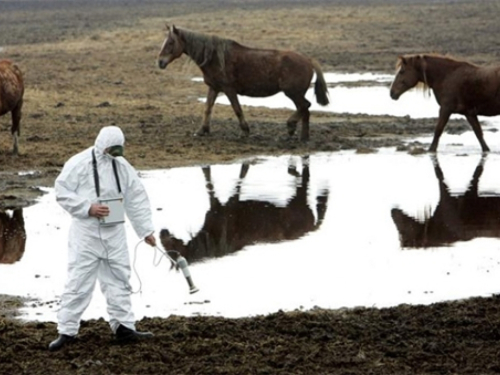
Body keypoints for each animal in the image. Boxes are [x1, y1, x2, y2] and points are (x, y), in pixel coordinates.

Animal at [158, 25, 330, 142]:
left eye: (171, 42)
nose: (159, 62)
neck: (215, 57)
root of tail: (308, 60)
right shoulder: (214, 88)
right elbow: (207, 108)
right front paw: (202, 130)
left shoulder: (229, 90)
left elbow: (237, 109)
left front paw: (245, 131)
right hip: (295, 94)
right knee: (305, 110)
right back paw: (303, 137)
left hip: (293, 93)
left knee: (305, 106)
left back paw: (291, 126)